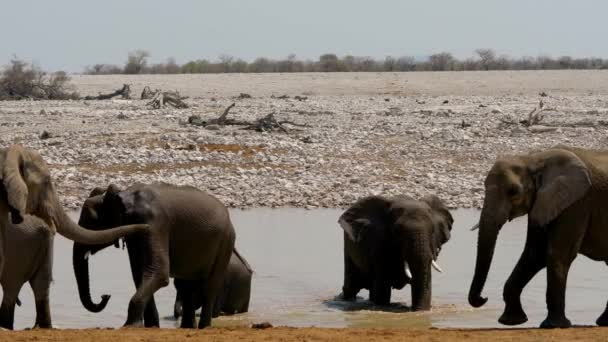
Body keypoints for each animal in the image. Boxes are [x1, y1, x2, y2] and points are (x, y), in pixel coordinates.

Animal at [470, 145, 608, 328]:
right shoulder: (544, 203)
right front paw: (512, 322)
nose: (483, 298)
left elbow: (558, 255)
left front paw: (553, 325)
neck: (533, 159)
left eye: (513, 192)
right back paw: (604, 321)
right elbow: (534, 254)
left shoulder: (577, 203)